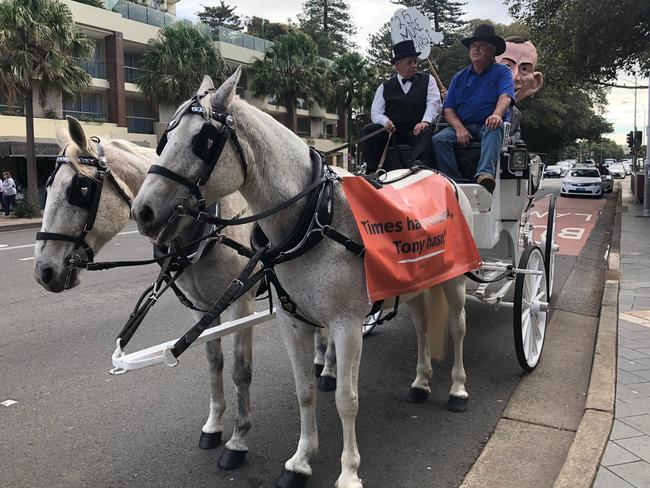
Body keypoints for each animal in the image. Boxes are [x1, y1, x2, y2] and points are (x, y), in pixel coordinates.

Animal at [32, 117, 260, 468]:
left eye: (79, 190)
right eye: (47, 186)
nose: (44, 271)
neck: (205, 226)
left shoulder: (241, 303)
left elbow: (241, 371)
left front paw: (238, 439)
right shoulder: (200, 306)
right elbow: (214, 362)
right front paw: (213, 425)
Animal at [129, 71, 470, 488]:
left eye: (203, 141)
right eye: (164, 138)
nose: (142, 211)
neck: (315, 215)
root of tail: (436, 172)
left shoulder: (346, 324)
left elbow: (346, 399)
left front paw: (349, 472)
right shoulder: (293, 321)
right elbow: (304, 390)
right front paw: (301, 460)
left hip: (455, 280)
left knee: (457, 327)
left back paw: (457, 389)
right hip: (414, 283)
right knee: (422, 326)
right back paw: (421, 382)